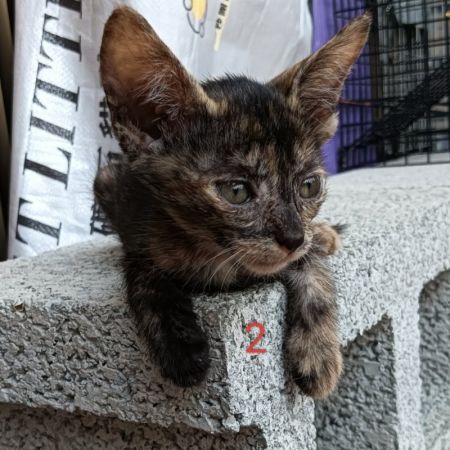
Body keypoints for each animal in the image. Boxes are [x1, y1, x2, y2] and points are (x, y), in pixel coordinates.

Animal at [95, 6, 371, 399]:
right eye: (236, 191)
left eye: (309, 186)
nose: (293, 238)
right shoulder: (130, 212)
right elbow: (144, 272)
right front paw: (181, 346)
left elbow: (311, 267)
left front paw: (318, 352)